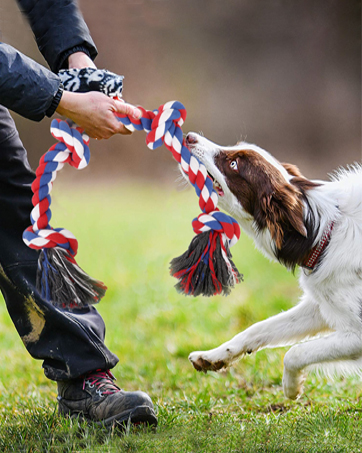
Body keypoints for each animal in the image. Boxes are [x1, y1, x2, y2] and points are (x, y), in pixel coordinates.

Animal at [184, 132, 362, 400]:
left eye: (234, 164)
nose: (189, 136)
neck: (322, 231)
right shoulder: (322, 304)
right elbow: (257, 328)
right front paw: (213, 356)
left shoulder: (357, 333)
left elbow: (295, 352)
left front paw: (291, 386)